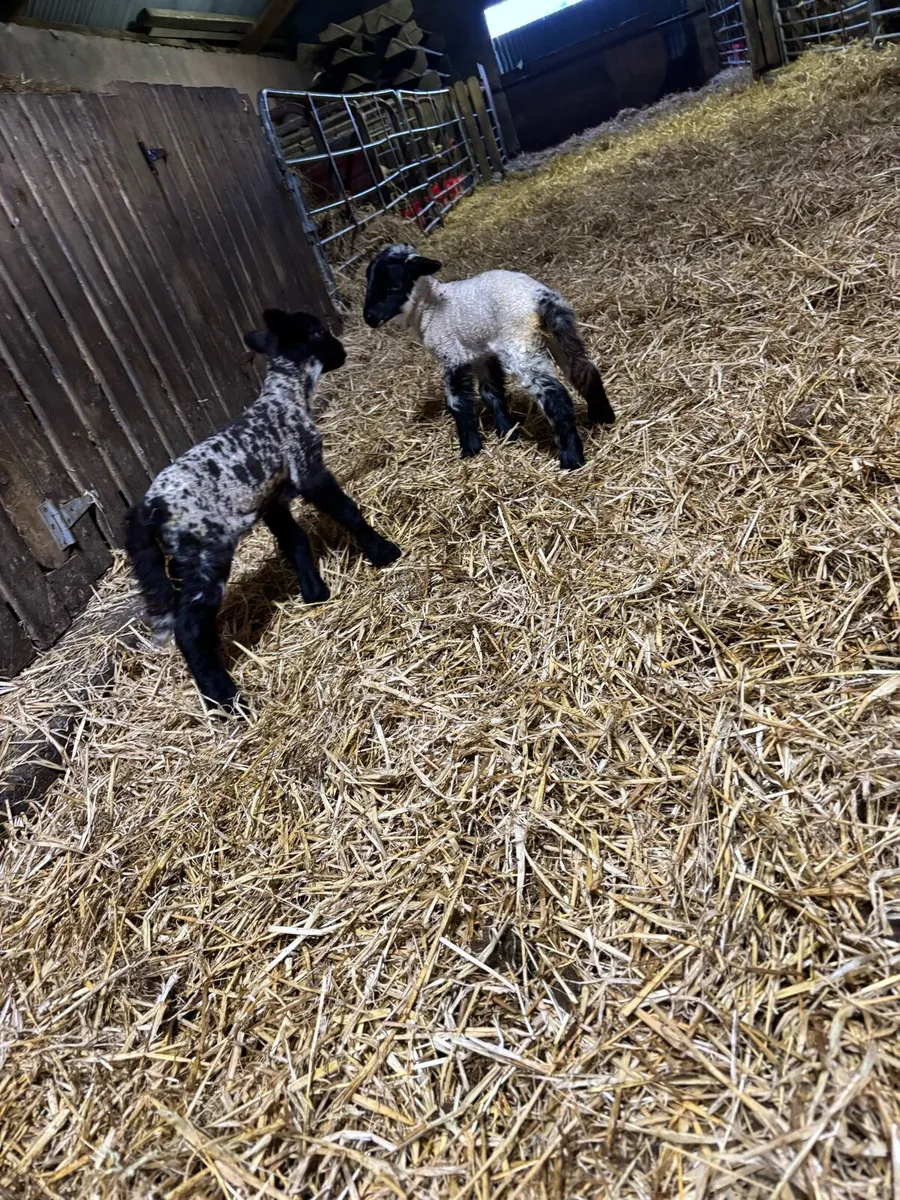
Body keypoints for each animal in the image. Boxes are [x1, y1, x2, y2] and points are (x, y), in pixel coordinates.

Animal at [125, 309, 401, 712]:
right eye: (320, 332)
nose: (342, 352)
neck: (286, 397)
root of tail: (147, 510)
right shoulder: (307, 467)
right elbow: (345, 510)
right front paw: (383, 552)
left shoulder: (273, 498)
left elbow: (295, 540)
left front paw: (314, 591)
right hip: (206, 552)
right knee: (188, 629)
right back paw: (225, 701)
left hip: (179, 560)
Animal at [363, 243, 614, 470]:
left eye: (394, 285)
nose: (369, 318)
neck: (429, 310)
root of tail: (541, 298)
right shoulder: (481, 355)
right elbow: (491, 393)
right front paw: (507, 433)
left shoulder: (452, 355)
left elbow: (458, 402)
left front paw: (470, 448)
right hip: (561, 333)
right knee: (583, 368)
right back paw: (602, 416)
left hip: (520, 345)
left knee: (554, 395)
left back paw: (571, 458)